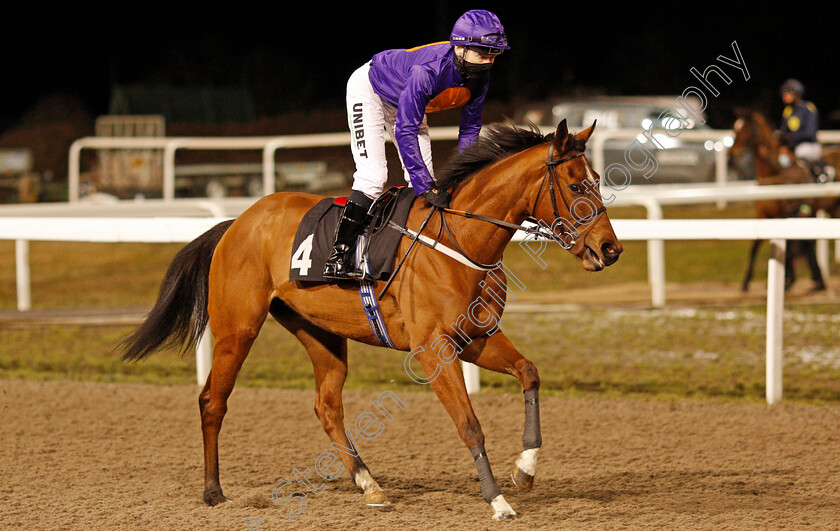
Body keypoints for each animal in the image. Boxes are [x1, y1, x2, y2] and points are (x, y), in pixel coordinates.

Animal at [118, 119, 624, 520]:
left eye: (598, 180)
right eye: (576, 186)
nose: (610, 249)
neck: (460, 239)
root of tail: (236, 223)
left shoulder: (477, 337)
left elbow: (529, 373)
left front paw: (525, 470)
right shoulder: (433, 349)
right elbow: (469, 424)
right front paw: (497, 501)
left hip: (318, 332)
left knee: (326, 406)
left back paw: (369, 484)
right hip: (236, 329)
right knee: (212, 401)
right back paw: (213, 491)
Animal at [728, 110, 832, 294]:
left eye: (746, 130)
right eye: (735, 128)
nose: (732, 156)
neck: (777, 177)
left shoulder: (785, 215)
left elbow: (789, 249)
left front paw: (788, 281)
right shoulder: (764, 215)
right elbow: (754, 247)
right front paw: (746, 282)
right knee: (808, 244)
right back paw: (817, 280)